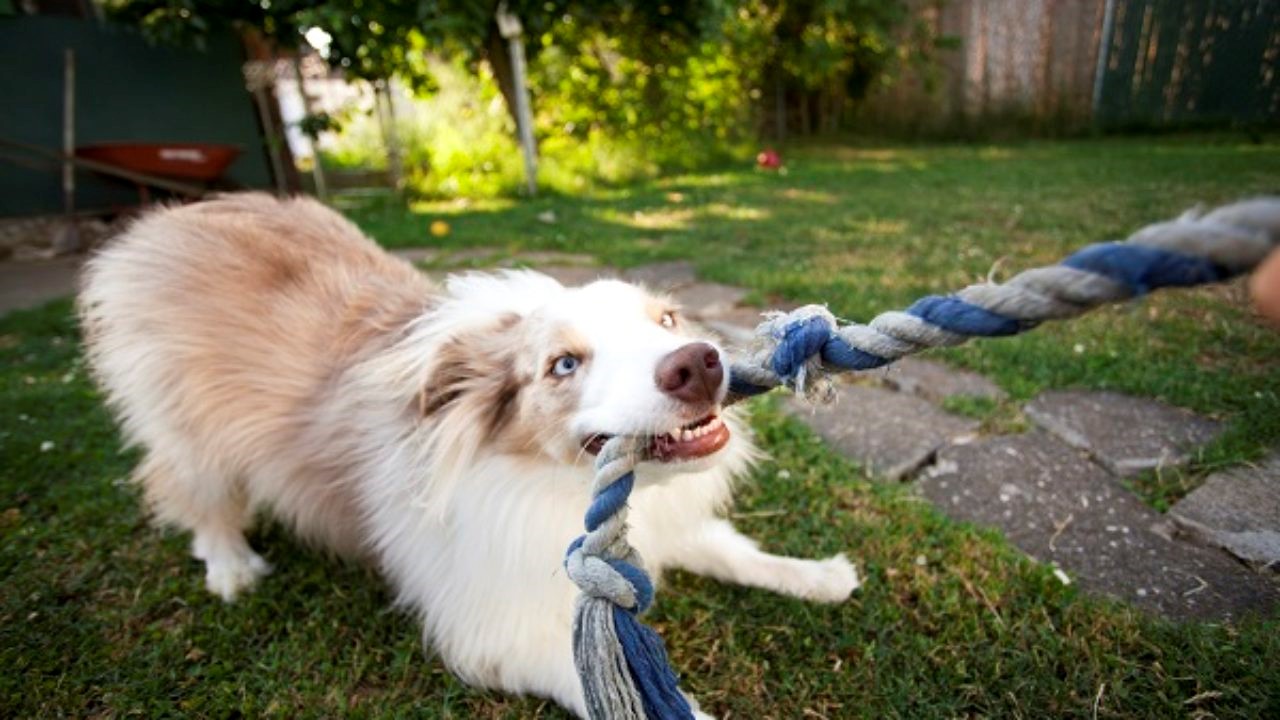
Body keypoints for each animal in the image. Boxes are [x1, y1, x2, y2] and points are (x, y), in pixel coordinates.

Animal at [77, 193, 860, 712]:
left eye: (665, 320)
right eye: (563, 365)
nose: (698, 363)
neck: (550, 482)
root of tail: (173, 213)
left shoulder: (668, 526)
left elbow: (735, 551)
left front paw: (820, 576)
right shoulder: (492, 630)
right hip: (185, 425)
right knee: (191, 491)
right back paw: (231, 565)